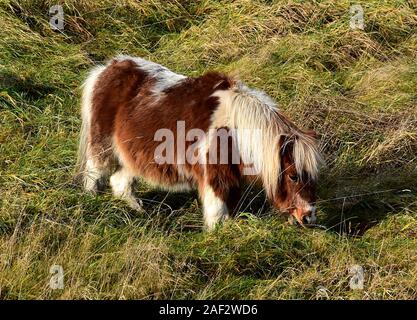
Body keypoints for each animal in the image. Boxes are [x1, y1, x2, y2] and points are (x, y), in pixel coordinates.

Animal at [75, 55, 322, 230]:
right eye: (293, 175)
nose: (308, 217)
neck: (234, 129)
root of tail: (105, 69)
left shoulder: (232, 179)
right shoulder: (215, 176)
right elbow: (216, 213)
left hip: (131, 157)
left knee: (120, 183)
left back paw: (138, 212)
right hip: (102, 147)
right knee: (94, 174)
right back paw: (91, 202)